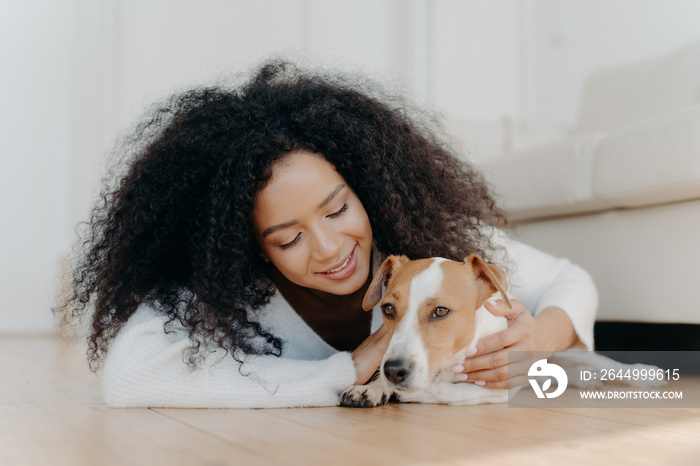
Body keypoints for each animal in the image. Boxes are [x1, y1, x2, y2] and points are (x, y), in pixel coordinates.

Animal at [342, 255, 664, 408]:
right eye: (388, 309)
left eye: (441, 311)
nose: (394, 371)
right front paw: (373, 387)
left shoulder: (498, 387)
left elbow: (446, 391)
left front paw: (408, 393)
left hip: (572, 352)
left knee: (606, 364)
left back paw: (640, 374)